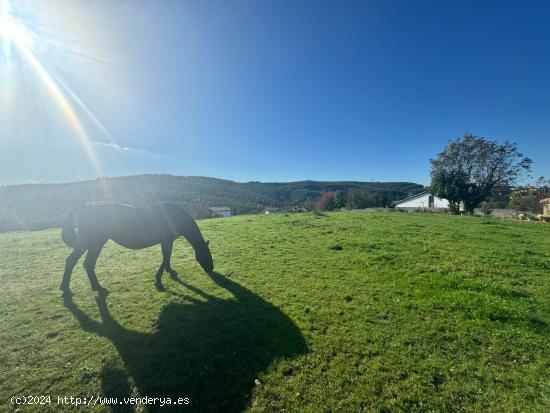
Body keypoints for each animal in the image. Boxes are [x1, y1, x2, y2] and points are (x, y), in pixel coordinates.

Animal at [60, 200, 215, 292]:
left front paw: (169, 271)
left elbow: (167, 257)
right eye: (206, 254)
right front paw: (158, 280)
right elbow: (166, 257)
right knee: (88, 264)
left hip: (85, 243)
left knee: (71, 261)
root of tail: (83, 207)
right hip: (95, 244)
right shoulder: (166, 240)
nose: (211, 269)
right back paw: (97, 287)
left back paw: (65, 287)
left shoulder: (168, 241)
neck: (175, 217)